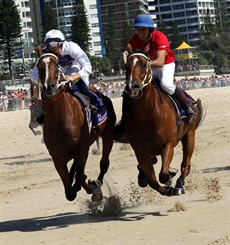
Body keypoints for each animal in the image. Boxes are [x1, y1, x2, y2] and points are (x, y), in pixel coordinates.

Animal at [36, 48, 117, 202]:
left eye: (56, 64)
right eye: (38, 66)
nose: (50, 87)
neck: (60, 121)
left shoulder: (83, 148)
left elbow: (80, 176)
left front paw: (93, 188)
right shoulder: (57, 158)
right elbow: (70, 191)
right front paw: (79, 186)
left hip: (108, 134)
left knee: (104, 163)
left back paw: (97, 182)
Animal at [124, 52, 203, 196]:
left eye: (144, 65)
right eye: (126, 66)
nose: (132, 87)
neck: (147, 115)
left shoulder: (168, 144)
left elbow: (163, 175)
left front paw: (170, 179)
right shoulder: (140, 152)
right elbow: (153, 181)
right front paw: (165, 188)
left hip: (189, 134)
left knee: (186, 165)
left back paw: (179, 184)